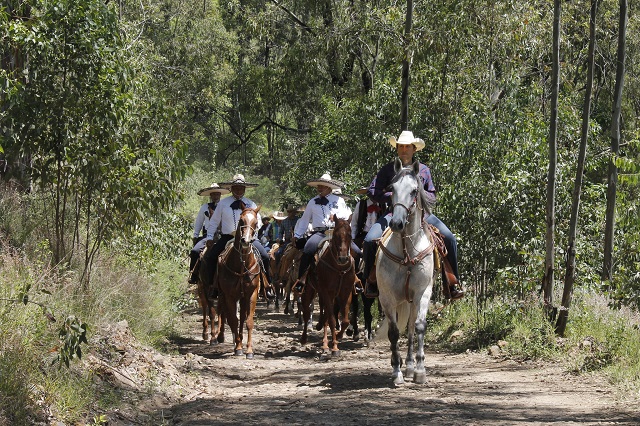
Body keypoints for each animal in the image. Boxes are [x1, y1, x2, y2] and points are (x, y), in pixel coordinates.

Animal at [215, 205, 264, 358]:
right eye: (241, 220)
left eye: (256, 223)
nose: (246, 241)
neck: (242, 266)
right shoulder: (229, 296)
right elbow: (233, 320)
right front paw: (238, 348)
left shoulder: (251, 294)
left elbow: (248, 321)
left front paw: (249, 350)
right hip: (224, 296)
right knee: (224, 313)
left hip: (242, 298)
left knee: (242, 317)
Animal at [300, 218, 356, 354]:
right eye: (335, 235)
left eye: (350, 235)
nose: (343, 258)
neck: (339, 269)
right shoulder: (327, 291)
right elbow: (332, 319)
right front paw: (334, 347)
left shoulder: (346, 292)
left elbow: (345, 321)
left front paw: (337, 338)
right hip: (309, 290)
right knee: (306, 312)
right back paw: (304, 338)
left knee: (324, 315)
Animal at [376, 158, 436, 384]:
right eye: (391, 188)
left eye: (414, 190)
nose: (397, 223)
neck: (407, 251)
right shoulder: (386, 298)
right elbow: (393, 333)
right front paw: (397, 372)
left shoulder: (423, 292)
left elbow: (419, 326)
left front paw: (419, 370)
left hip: (412, 300)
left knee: (410, 328)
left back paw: (410, 365)